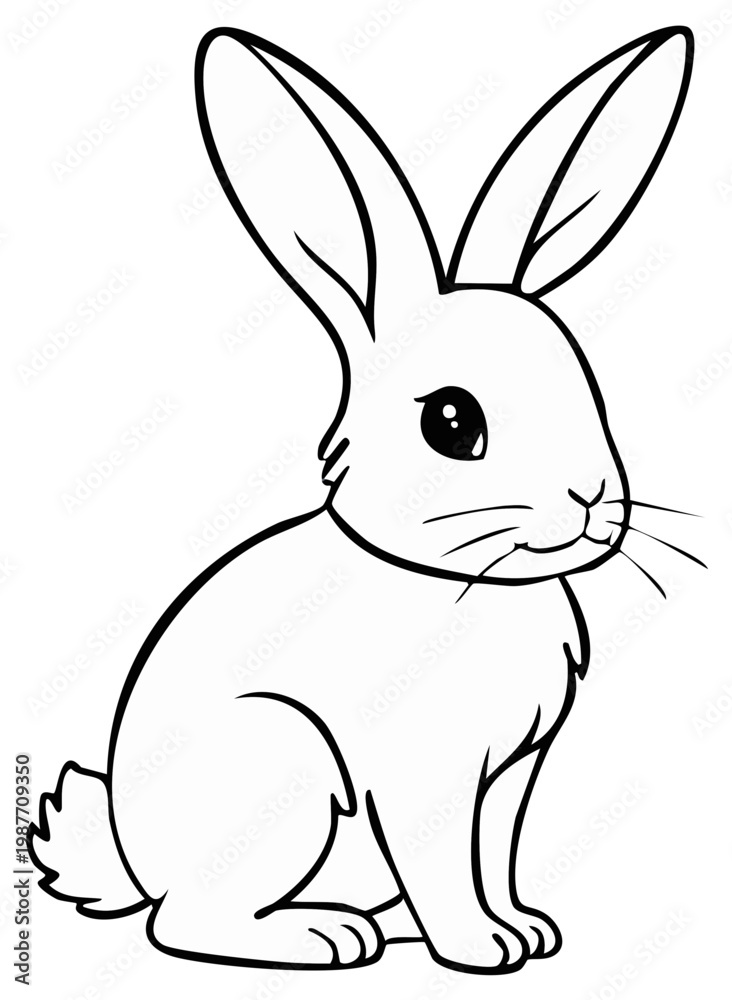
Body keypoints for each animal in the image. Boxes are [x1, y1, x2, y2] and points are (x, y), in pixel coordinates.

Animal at [29, 25, 695, 974]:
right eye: (453, 422)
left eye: (588, 386)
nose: (592, 500)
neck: (460, 580)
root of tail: (128, 855)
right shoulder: (426, 775)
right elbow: (446, 863)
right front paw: (482, 948)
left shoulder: (510, 774)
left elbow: (495, 855)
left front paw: (528, 931)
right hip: (284, 766)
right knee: (182, 924)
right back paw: (327, 937)